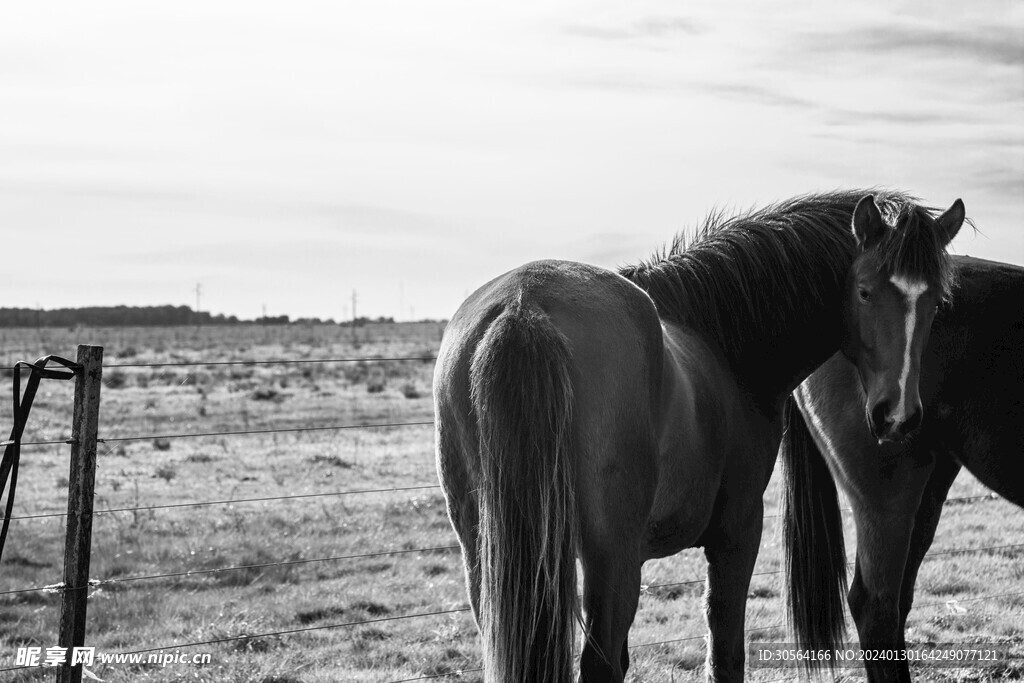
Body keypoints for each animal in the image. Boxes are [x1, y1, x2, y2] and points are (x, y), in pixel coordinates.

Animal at [433, 190, 964, 682]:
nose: (897, 415)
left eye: (936, 302)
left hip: (489, 559)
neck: (722, 341)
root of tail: (524, 306)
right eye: (866, 292)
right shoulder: (737, 532)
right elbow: (725, 653)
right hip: (611, 557)